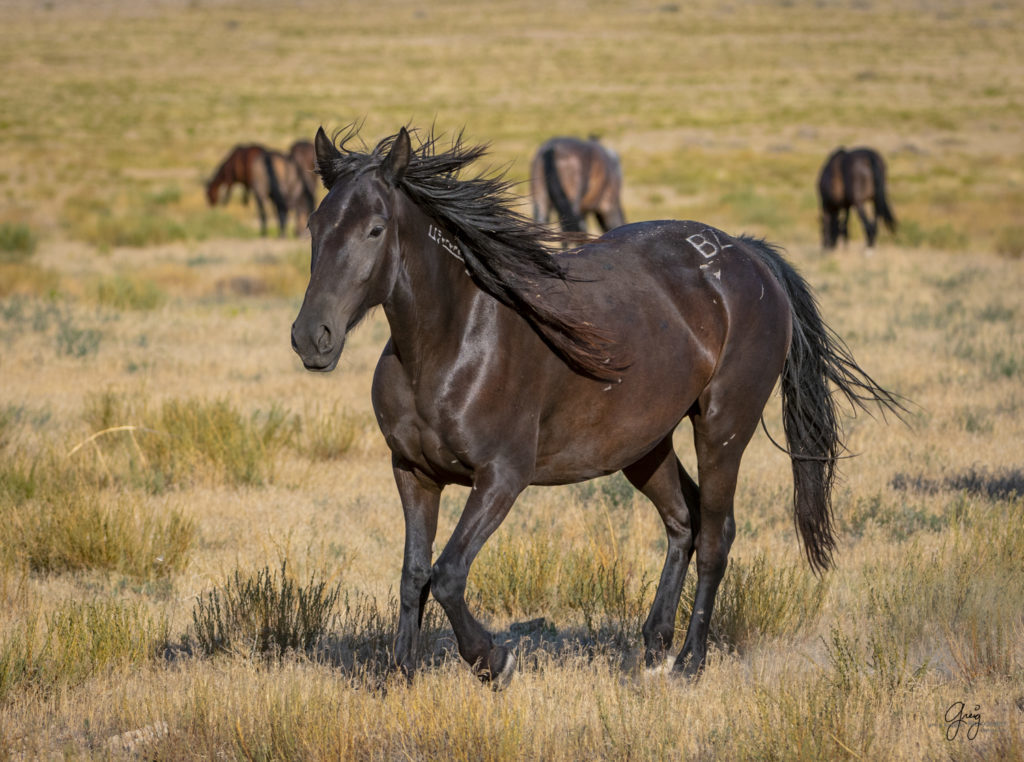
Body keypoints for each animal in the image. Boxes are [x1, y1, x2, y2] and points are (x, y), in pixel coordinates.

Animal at [290, 124, 905, 684]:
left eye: (375, 229)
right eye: (315, 225)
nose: (311, 337)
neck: (452, 342)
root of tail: (748, 256)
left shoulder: (502, 477)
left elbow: (447, 574)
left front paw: (494, 660)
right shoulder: (413, 472)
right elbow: (413, 573)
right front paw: (400, 675)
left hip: (723, 428)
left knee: (715, 534)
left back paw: (689, 663)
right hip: (645, 445)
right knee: (683, 520)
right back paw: (653, 646)